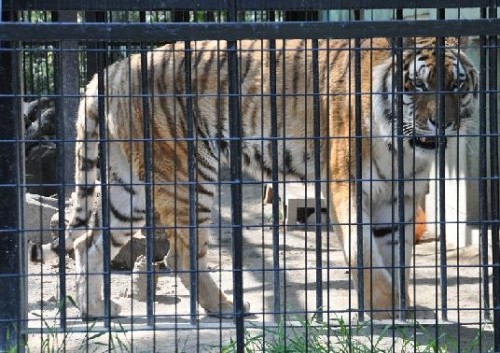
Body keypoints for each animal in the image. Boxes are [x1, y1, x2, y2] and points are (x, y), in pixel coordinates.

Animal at [29, 36, 478, 320]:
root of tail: (112, 69)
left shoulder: (397, 197)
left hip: (129, 189)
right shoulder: (348, 188)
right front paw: (385, 311)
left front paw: (399, 306)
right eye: (416, 85)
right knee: (181, 257)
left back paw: (96, 311)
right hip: (187, 176)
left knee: (88, 244)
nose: (442, 122)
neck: (401, 145)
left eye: (457, 85)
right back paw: (227, 308)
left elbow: (396, 258)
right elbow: (366, 254)